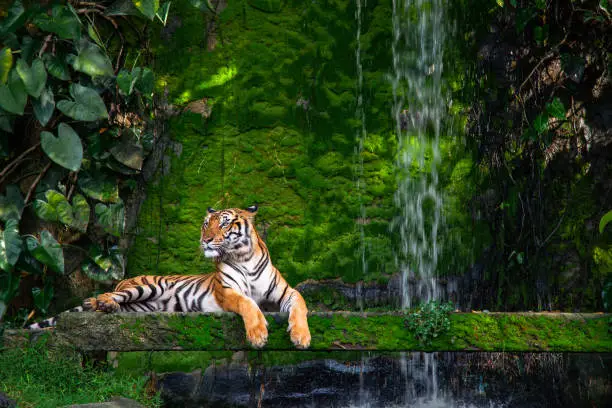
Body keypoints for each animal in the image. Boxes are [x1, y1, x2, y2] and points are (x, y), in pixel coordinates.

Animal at [28, 206, 310, 350]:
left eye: (224, 223)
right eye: (206, 223)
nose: (205, 240)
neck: (244, 257)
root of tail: (124, 280)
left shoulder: (286, 292)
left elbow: (300, 305)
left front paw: (302, 337)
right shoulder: (227, 291)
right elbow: (248, 304)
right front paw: (258, 335)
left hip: (140, 306)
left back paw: (105, 307)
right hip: (143, 287)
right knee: (106, 295)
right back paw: (100, 302)